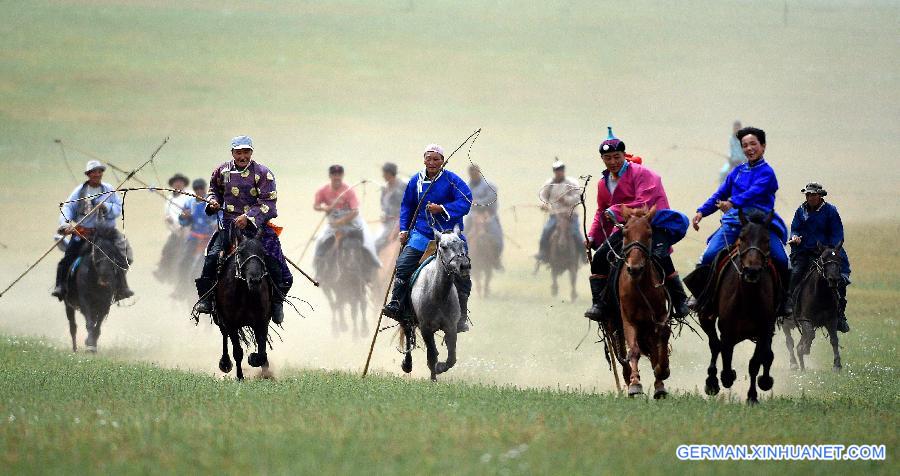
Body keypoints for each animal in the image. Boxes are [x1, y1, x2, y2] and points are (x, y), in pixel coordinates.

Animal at [213, 222, 272, 380]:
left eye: (263, 252)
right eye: (240, 252)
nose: (255, 280)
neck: (246, 294)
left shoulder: (262, 321)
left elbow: (262, 352)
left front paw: (262, 369)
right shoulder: (231, 324)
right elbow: (237, 352)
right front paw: (240, 377)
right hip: (219, 319)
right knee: (224, 336)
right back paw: (225, 363)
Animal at [400, 225, 472, 382]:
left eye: (461, 243)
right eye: (443, 246)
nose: (464, 266)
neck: (438, 295)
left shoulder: (451, 327)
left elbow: (452, 358)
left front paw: (440, 368)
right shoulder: (426, 328)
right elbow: (432, 356)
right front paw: (433, 377)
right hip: (406, 319)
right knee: (408, 335)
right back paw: (407, 364)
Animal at [616, 206, 672, 396]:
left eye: (649, 233)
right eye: (625, 233)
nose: (635, 268)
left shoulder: (660, 316)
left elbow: (663, 335)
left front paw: (663, 371)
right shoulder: (628, 320)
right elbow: (633, 350)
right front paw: (635, 384)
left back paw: (659, 384)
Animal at [700, 210, 776, 404]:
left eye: (767, 239)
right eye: (742, 237)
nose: (752, 271)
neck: (748, 298)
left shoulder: (764, 330)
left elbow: (755, 363)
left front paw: (753, 396)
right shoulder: (727, 330)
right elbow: (725, 359)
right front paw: (724, 378)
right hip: (707, 318)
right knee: (714, 345)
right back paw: (712, 382)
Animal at [780, 242, 844, 372]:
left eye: (839, 258)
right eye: (823, 258)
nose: (834, 279)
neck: (820, 295)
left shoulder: (832, 319)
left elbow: (834, 339)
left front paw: (837, 365)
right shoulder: (805, 320)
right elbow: (810, 335)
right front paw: (804, 349)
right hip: (785, 324)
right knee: (789, 341)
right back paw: (794, 363)